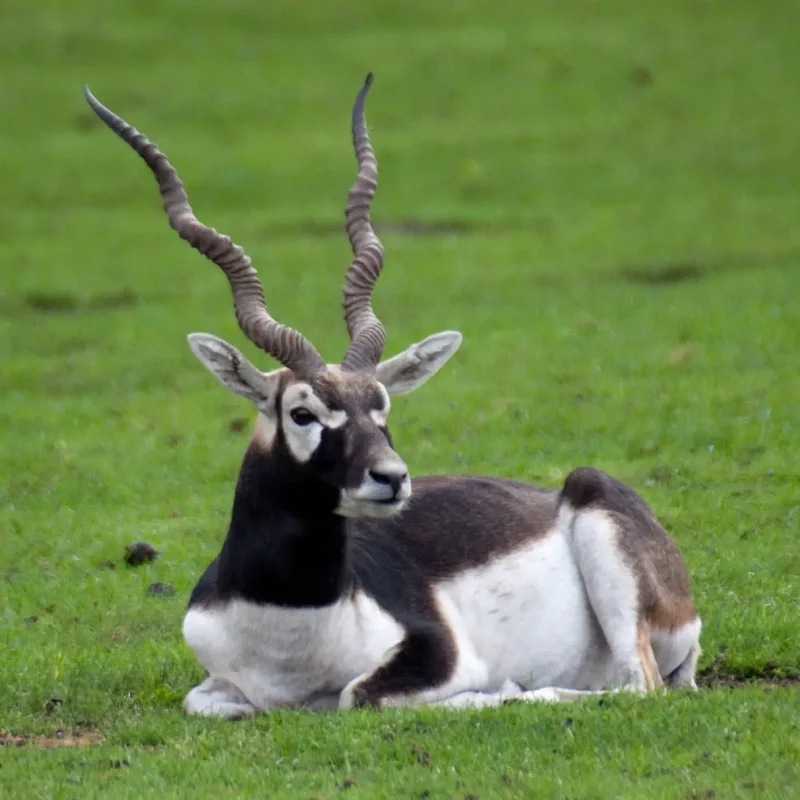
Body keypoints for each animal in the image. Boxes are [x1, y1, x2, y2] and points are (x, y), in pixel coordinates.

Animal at [84, 74, 701, 718]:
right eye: (302, 412)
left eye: (381, 407)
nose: (392, 477)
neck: (287, 622)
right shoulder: (218, 687)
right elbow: (202, 701)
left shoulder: (437, 654)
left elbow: (358, 694)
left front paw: (492, 689)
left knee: (635, 684)